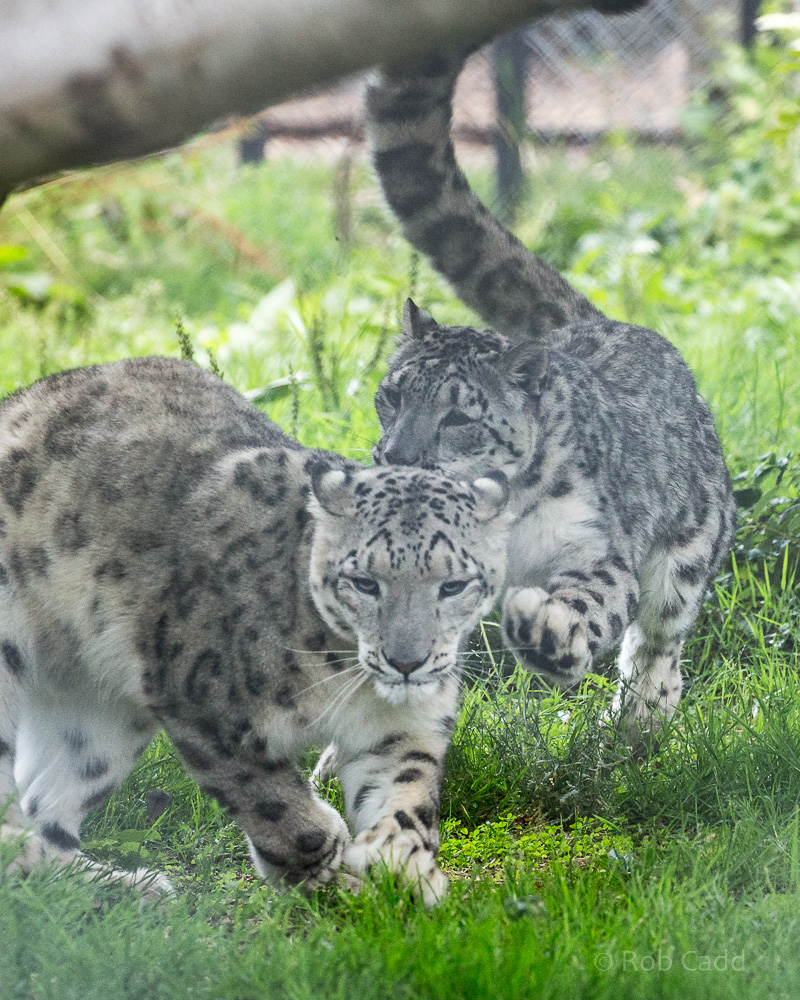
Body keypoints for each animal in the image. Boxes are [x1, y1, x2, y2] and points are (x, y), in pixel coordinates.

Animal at [0, 356, 510, 906]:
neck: (343, 677)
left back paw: (125, 888)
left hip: (100, 718)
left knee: (46, 807)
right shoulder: (203, 700)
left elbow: (406, 794)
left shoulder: (404, 726)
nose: (407, 662)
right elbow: (270, 799)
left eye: (454, 584)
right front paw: (323, 860)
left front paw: (403, 868)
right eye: (364, 582)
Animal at [365, 49, 736, 747]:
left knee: (659, 643)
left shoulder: (596, 550)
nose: (397, 456)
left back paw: (638, 725)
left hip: (687, 550)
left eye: (458, 416)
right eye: (391, 397)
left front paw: (545, 633)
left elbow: (591, 602)